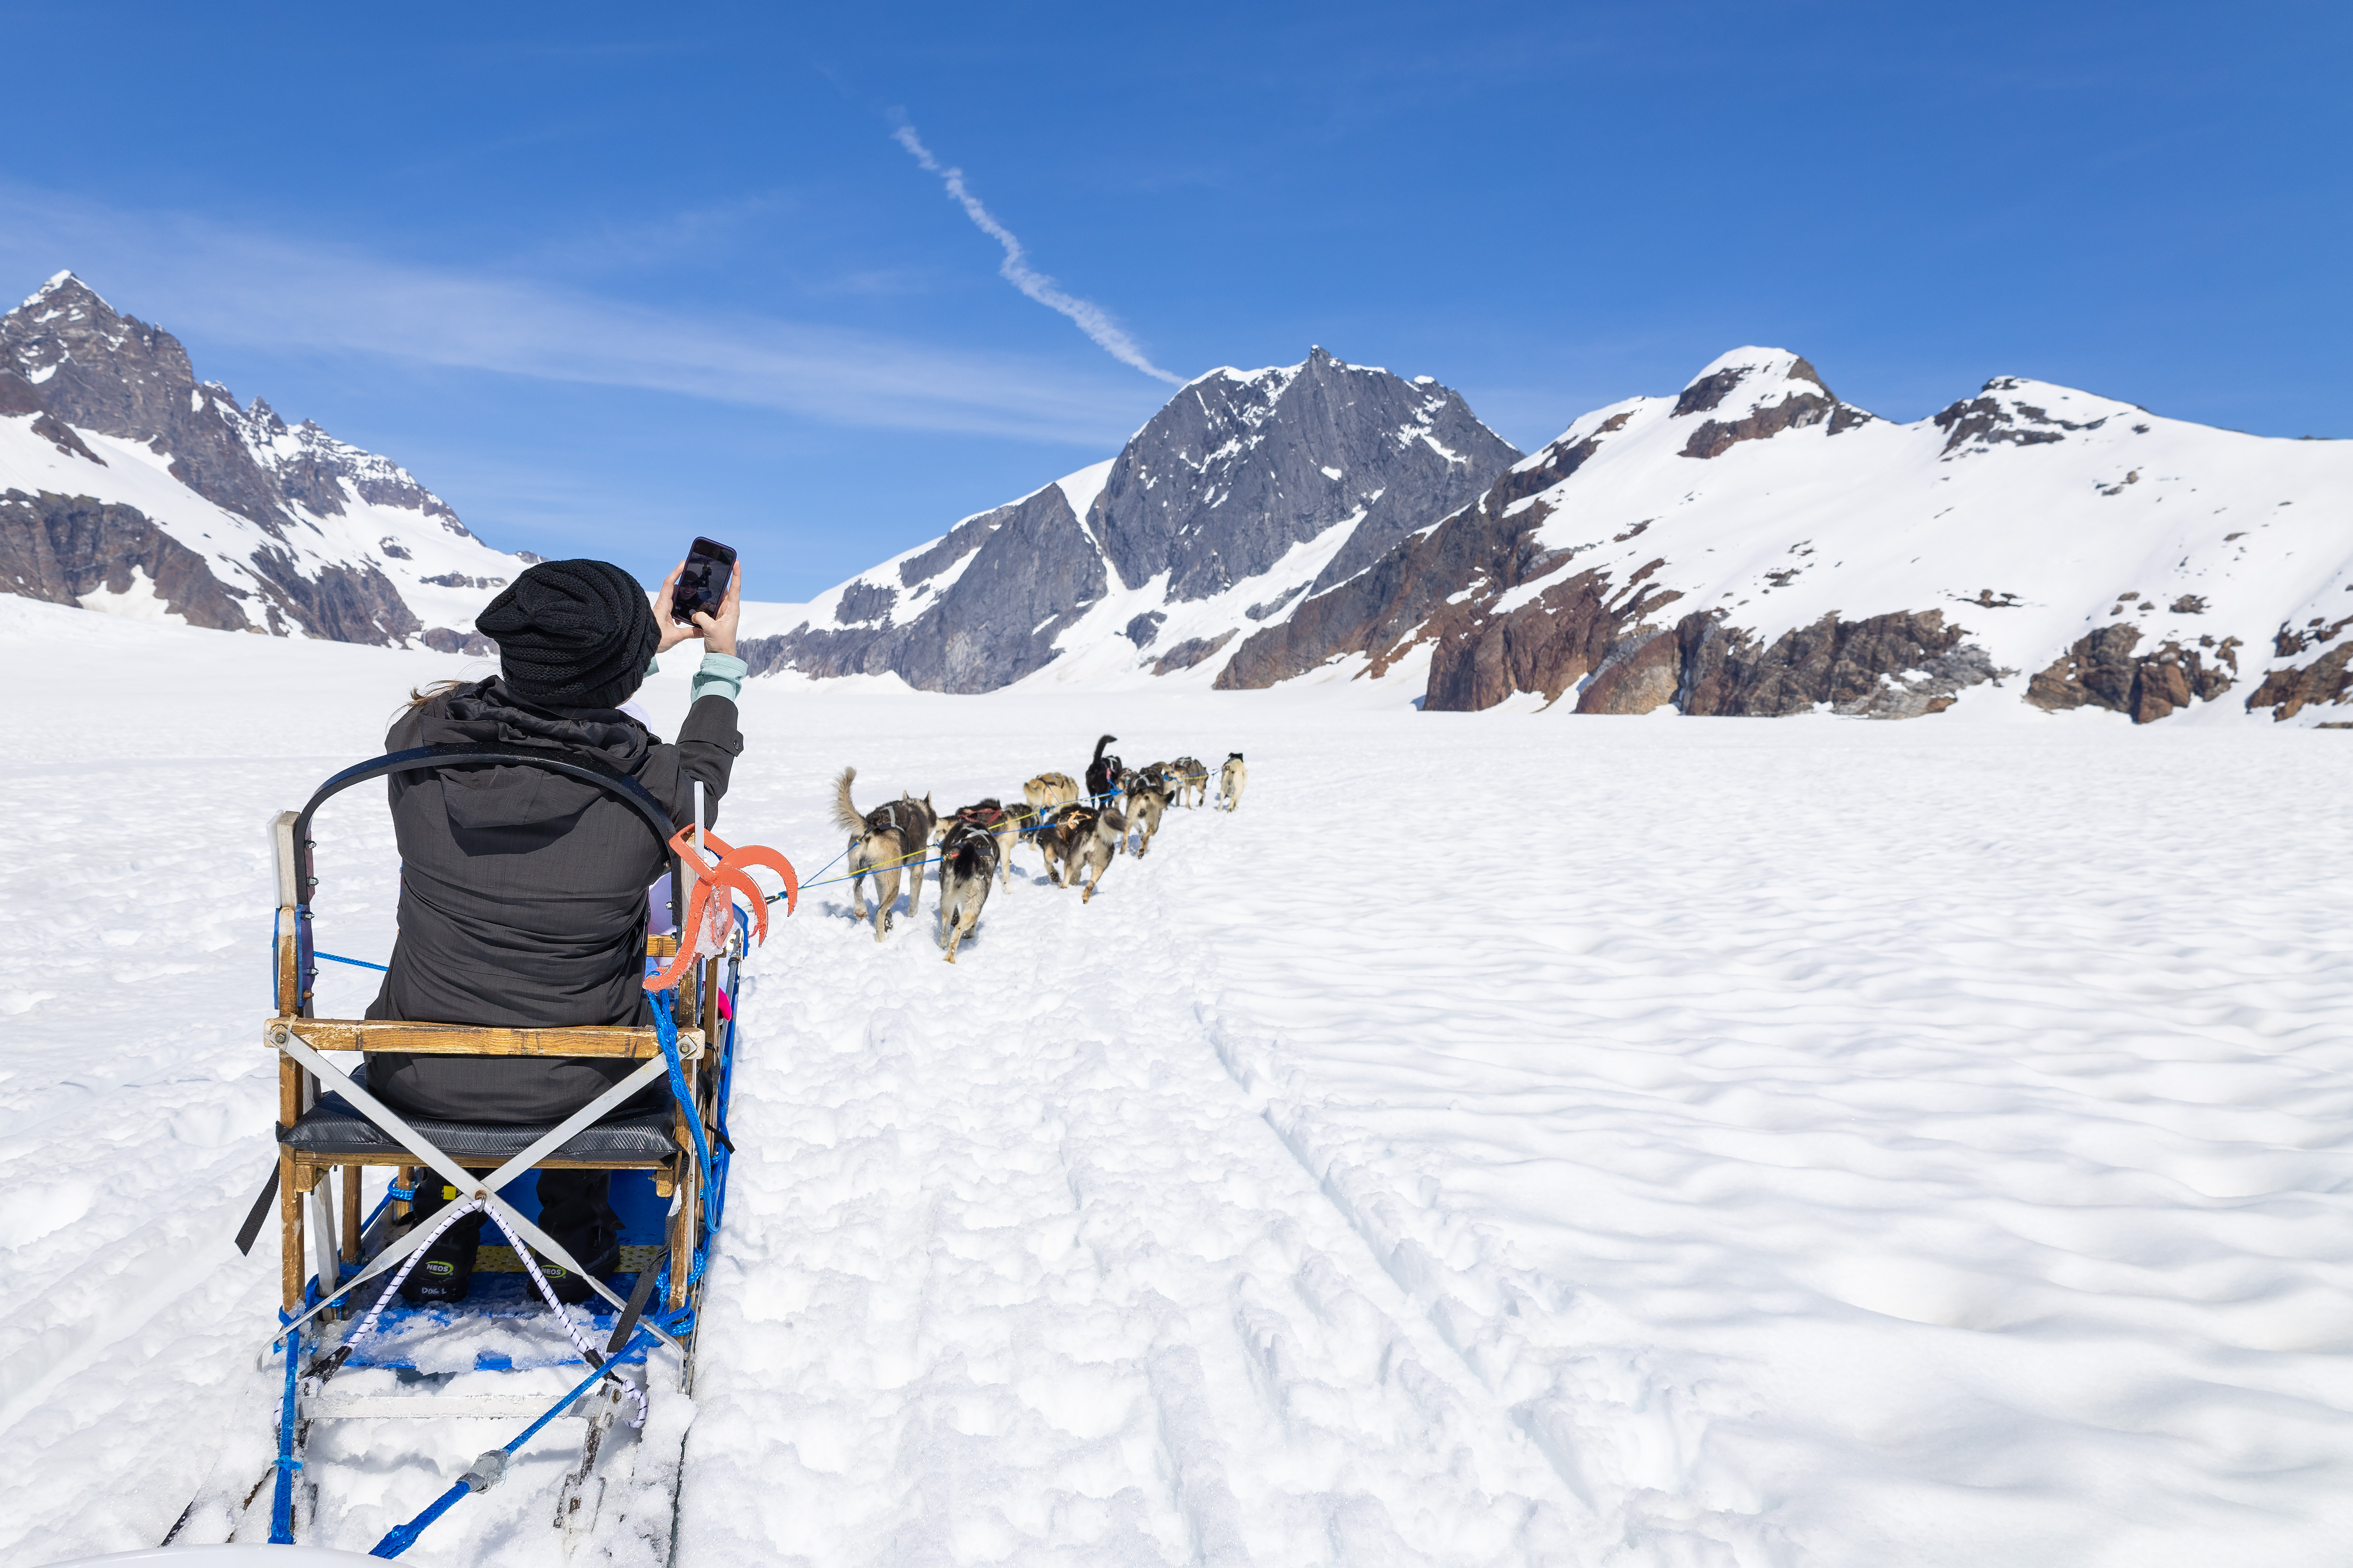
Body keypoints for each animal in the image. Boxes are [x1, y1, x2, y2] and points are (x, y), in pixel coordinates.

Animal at [828, 763, 936, 932]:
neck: (915, 808)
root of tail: (872, 827)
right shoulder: (918, 869)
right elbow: (914, 897)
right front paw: (912, 914)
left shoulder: (878, 878)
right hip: (894, 881)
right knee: (880, 912)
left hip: (861, 869)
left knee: (857, 887)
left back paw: (862, 910)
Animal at [931, 810, 997, 960]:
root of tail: (971, 859)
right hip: (973, 903)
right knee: (958, 930)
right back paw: (951, 958)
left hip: (948, 899)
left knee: (946, 927)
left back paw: (945, 951)